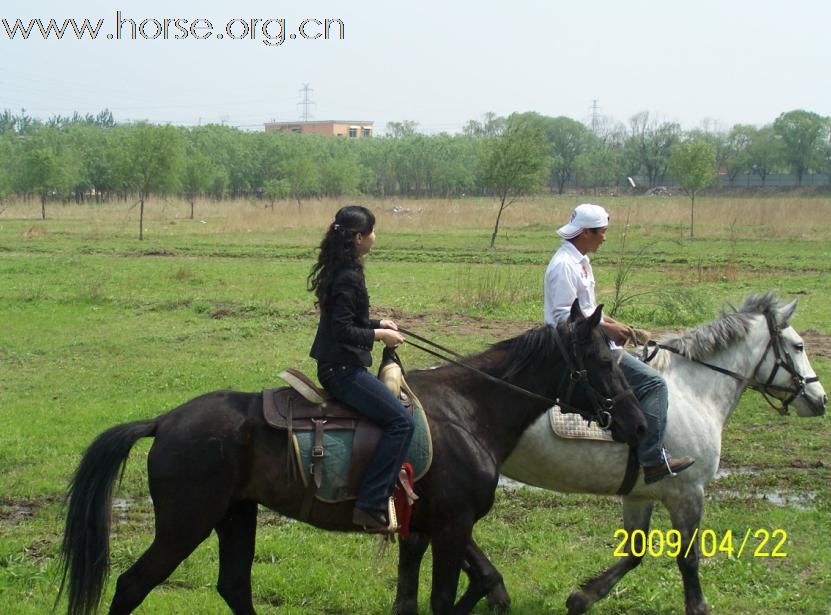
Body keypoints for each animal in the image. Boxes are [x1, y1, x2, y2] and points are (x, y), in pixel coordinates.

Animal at [58, 304, 648, 615]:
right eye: (602, 361)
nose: (640, 424)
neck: (468, 411)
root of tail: (166, 420)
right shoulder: (452, 526)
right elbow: (447, 598)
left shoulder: (426, 528)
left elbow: (478, 584)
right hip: (186, 524)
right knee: (133, 585)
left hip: (235, 516)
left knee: (234, 586)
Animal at [472, 294, 828, 615]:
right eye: (798, 346)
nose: (820, 398)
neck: (695, 391)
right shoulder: (688, 493)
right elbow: (688, 557)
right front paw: (697, 607)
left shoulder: (639, 495)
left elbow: (634, 552)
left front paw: (582, 598)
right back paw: (494, 588)